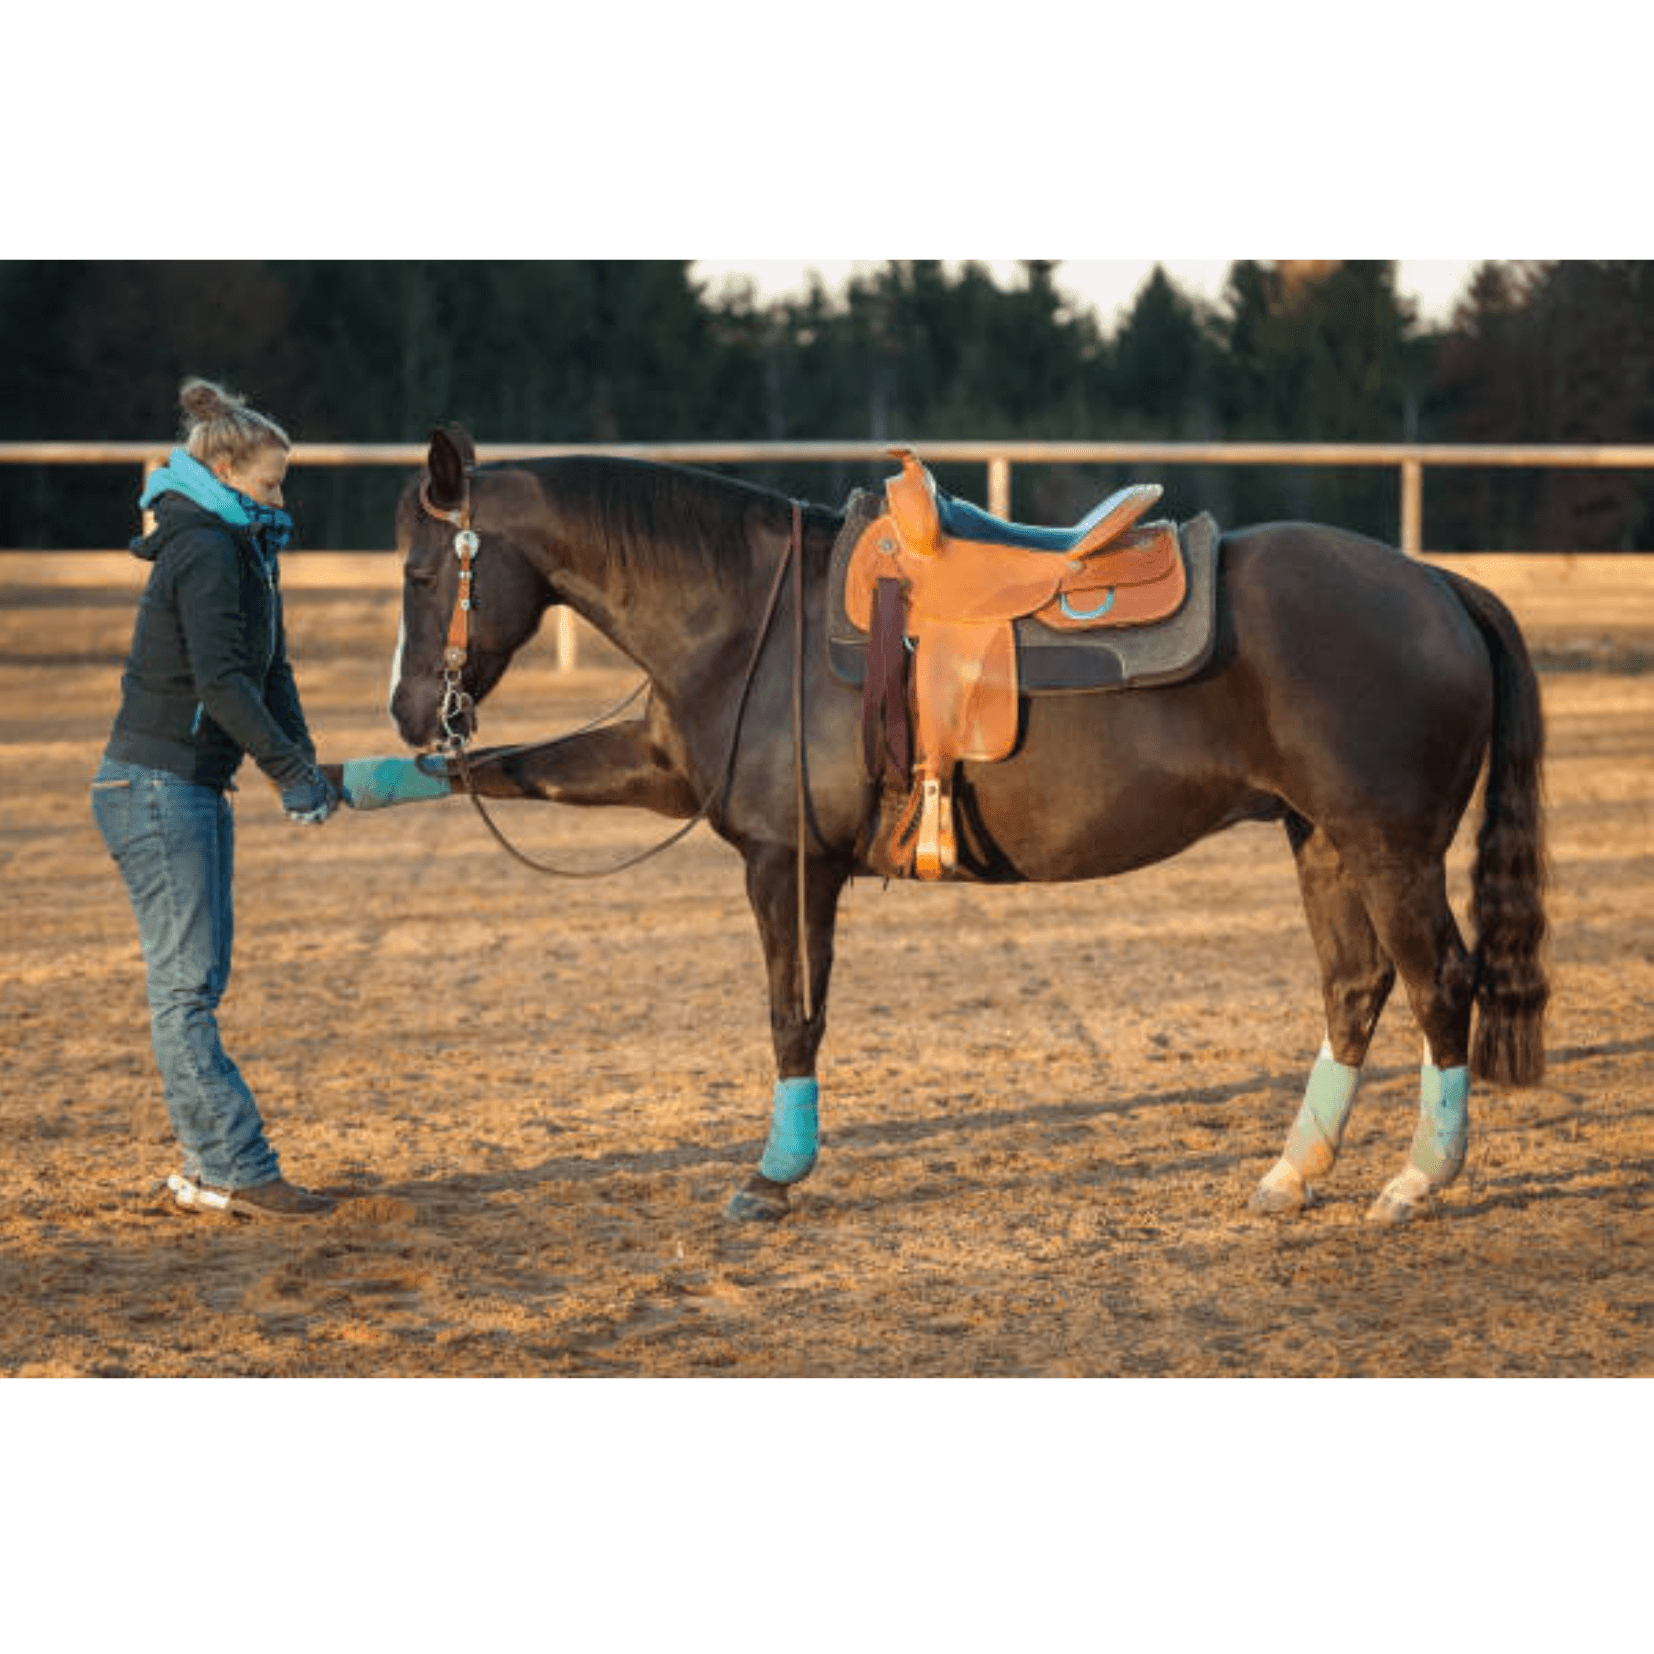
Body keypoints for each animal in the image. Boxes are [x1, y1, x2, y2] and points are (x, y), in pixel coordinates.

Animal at [384, 426, 1550, 1230]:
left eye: (420, 571)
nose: (405, 710)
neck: (749, 612)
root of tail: (1435, 584)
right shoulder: (669, 777)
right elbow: (507, 770)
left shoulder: (785, 862)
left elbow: (792, 1015)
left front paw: (773, 1176)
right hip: (1322, 840)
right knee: (1354, 986)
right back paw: (1291, 1175)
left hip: (1391, 849)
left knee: (1440, 983)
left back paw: (1415, 1180)